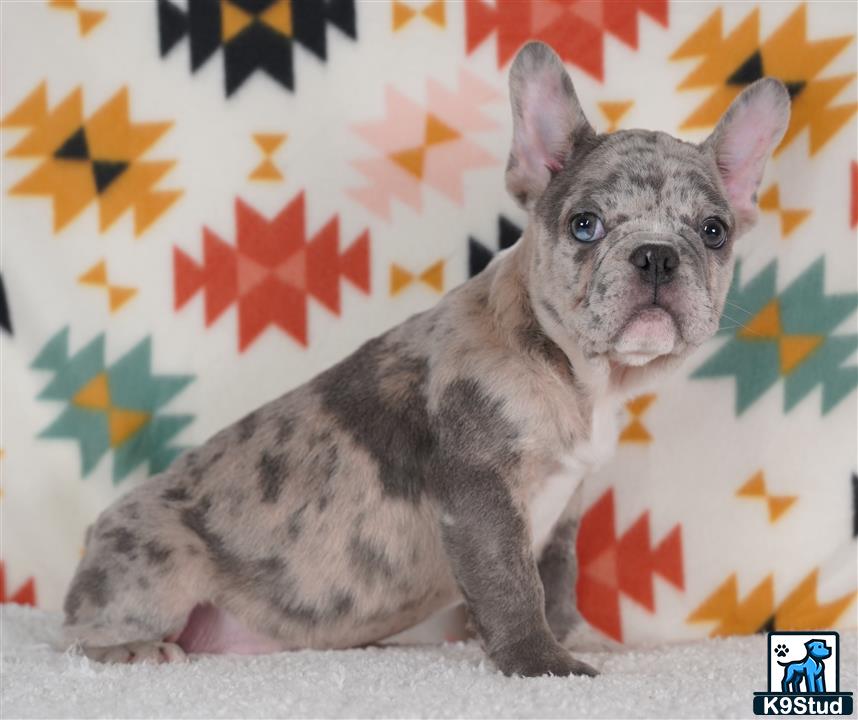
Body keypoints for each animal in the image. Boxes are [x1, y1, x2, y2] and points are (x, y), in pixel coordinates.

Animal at [61, 43, 788, 676]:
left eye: (714, 232)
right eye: (585, 225)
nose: (657, 255)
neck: (574, 372)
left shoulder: (563, 513)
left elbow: (557, 583)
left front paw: (580, 637)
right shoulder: (481, 494)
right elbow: (513, 586)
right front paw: (544, 665)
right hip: (159, 562)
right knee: (78, 636)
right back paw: (129, 648)